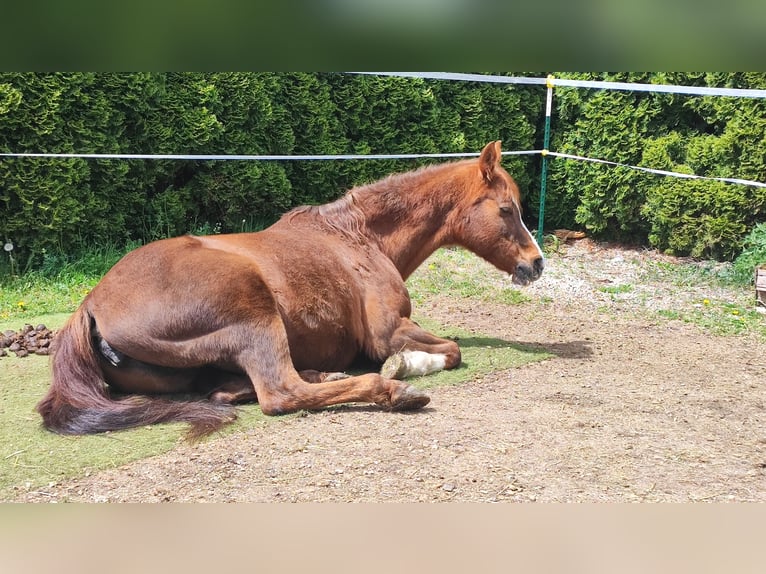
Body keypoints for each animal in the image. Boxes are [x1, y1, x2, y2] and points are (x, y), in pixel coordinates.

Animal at [37, 142, 544, 438]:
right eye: (506, 209)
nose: (537, 263)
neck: (358, 237)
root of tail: (91, 306)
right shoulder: (387, 332)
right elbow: (452, 350)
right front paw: (404, 367)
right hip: (255, 313)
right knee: (280, 392)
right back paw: (389, 390)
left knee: (227, 391)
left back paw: (327, 374)